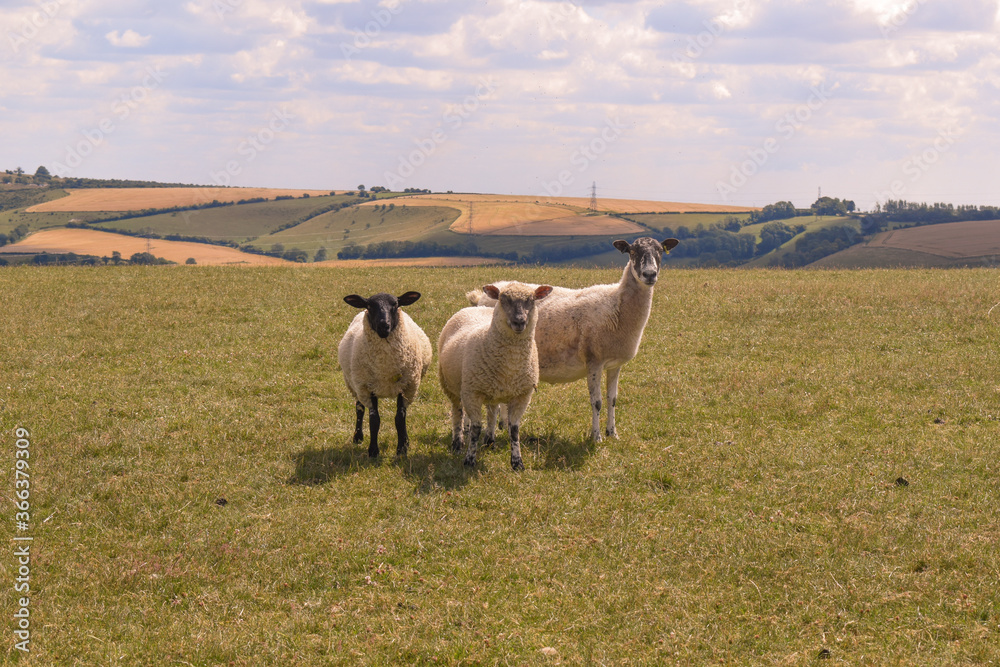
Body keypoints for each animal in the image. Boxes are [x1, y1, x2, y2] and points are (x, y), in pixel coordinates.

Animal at [338, 291, 433, 458]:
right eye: (369, 306)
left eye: (395, 304)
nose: (384, 326)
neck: (385, 369)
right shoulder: (367, 388)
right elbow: (374, 420)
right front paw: (373, 451)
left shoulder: (406, 387)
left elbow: (400, 418)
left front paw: (402, 449)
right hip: (356, 385)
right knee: (359, 408)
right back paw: (358, 437)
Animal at [438, 282, 553, 470]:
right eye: (503, 299)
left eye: (532, 300)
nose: (519, 321)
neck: (511, 364)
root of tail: (476, 307)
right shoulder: (472, 392)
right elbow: (476, 428)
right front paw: (469, 460)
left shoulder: (522, 395)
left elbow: (514, 429)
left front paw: (517, 462)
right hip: (451, 386)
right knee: (457, 412)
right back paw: (458, 442)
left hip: (492, 389)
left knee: (492, 412)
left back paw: (489, 441)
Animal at [466, 237, 679, 442]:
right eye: (633, 252)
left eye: (660, 251)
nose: (649, 274)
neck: (616, 304)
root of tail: (483, 296)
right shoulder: (594, 361)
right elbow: (597, 402)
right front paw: (596, 437)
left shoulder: (615, 364)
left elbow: (612, 399)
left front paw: (613, 434)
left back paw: (503, 424)